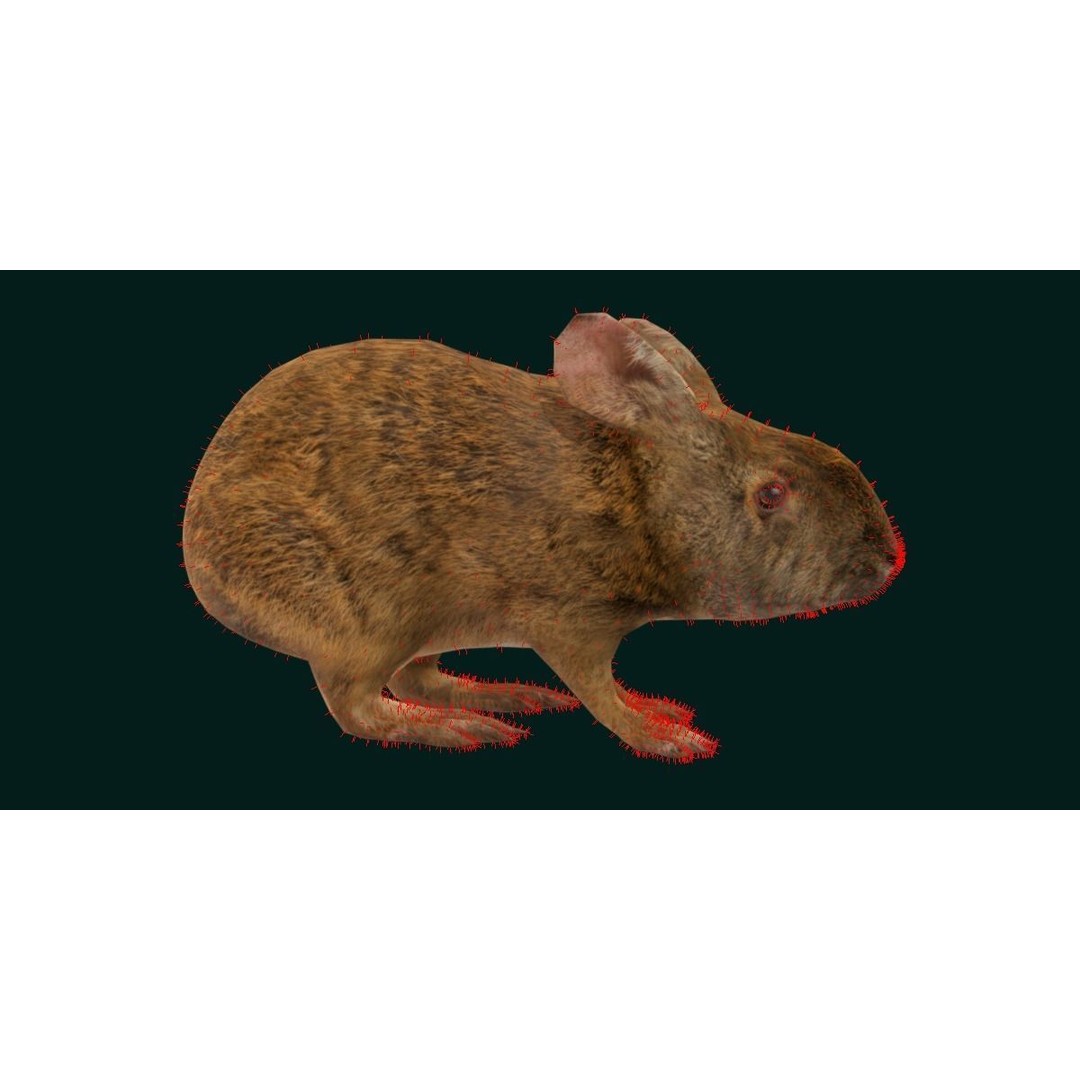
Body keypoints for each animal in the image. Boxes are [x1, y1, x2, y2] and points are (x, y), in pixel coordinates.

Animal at [182, 312, 904, 762]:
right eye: (772, 494)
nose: (890, 560)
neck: (644, 502)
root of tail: (198, 542)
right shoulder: (568, 621)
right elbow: (599, 692)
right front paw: (662, 734)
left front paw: (660, 712)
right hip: (364, 618)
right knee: (360, 705)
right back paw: (462, 727)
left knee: (415, 679)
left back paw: (503, 695)